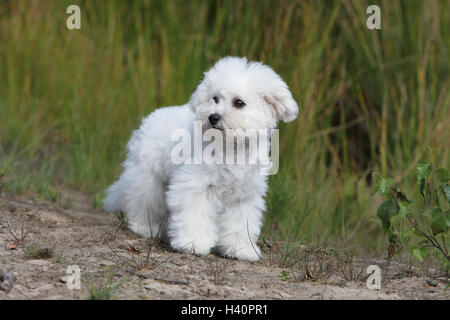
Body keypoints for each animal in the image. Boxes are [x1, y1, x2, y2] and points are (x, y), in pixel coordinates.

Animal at [103, 56, 298, 262]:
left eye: (239, 102)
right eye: (215, 98)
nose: (213, 117)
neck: (230, 147)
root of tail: (150, 118)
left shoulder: (243, 196)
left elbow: (240, 224)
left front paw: (241, 249)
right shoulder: (196, 185)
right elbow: (194, 214)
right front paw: (192, 243)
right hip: (148, 178)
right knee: (141, 202)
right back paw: (145, 227)